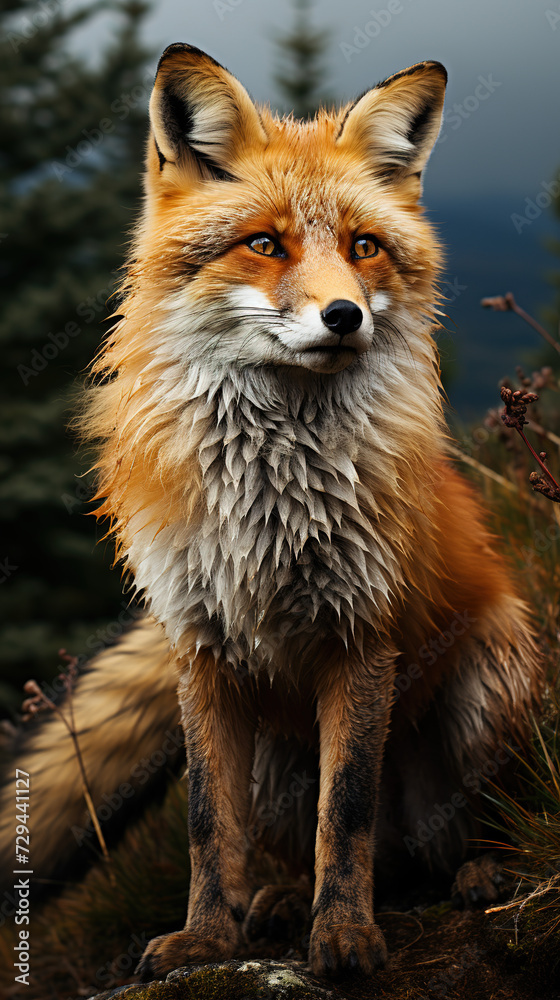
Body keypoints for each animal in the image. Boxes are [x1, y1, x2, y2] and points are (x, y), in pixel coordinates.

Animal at [0, 44, 543, 982]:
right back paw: (282, 899)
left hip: (488, 690)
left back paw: (479, 872)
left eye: (363, 248)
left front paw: (346, 938)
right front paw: (206, 940)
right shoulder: (201, 649)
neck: (271, 497)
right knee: (338, 854)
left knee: (459, 831)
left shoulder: (363, 636)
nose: (345, 316)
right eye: (264, 244)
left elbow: (348, 811)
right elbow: (208, 827)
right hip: (274, 761)